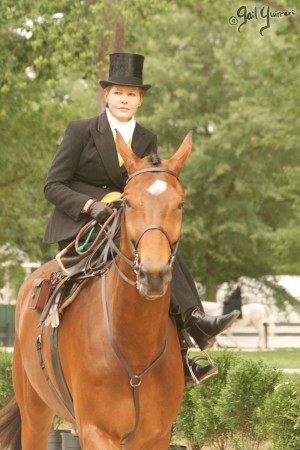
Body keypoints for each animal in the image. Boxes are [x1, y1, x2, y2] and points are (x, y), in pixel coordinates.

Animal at [0, 132, 192, 448]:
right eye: (128, 203)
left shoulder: (156, 435)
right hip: (35, 413)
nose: (153, 274)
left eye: (181, 204)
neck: (135, 346)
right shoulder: (95, 431)